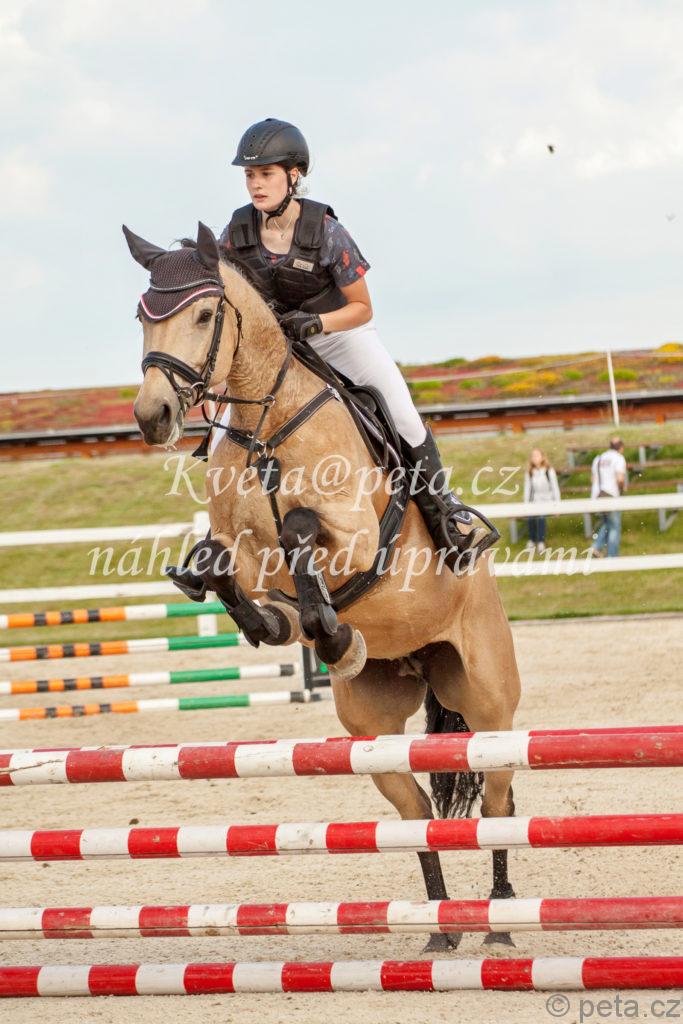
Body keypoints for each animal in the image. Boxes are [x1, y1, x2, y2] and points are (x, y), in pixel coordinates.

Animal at [125, 221, 522, 951]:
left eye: (204, 314)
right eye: (143, 317)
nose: (153, 415)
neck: (266, 425)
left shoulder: (357, 540)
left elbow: (301, 532)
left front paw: (333, 635)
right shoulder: (241, 551)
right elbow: (224, 568)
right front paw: (282, 626)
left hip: (486, 703)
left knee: (500, 796)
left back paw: (501, 922)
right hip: (373, 730)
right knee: (415, 811)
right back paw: (440, 929)